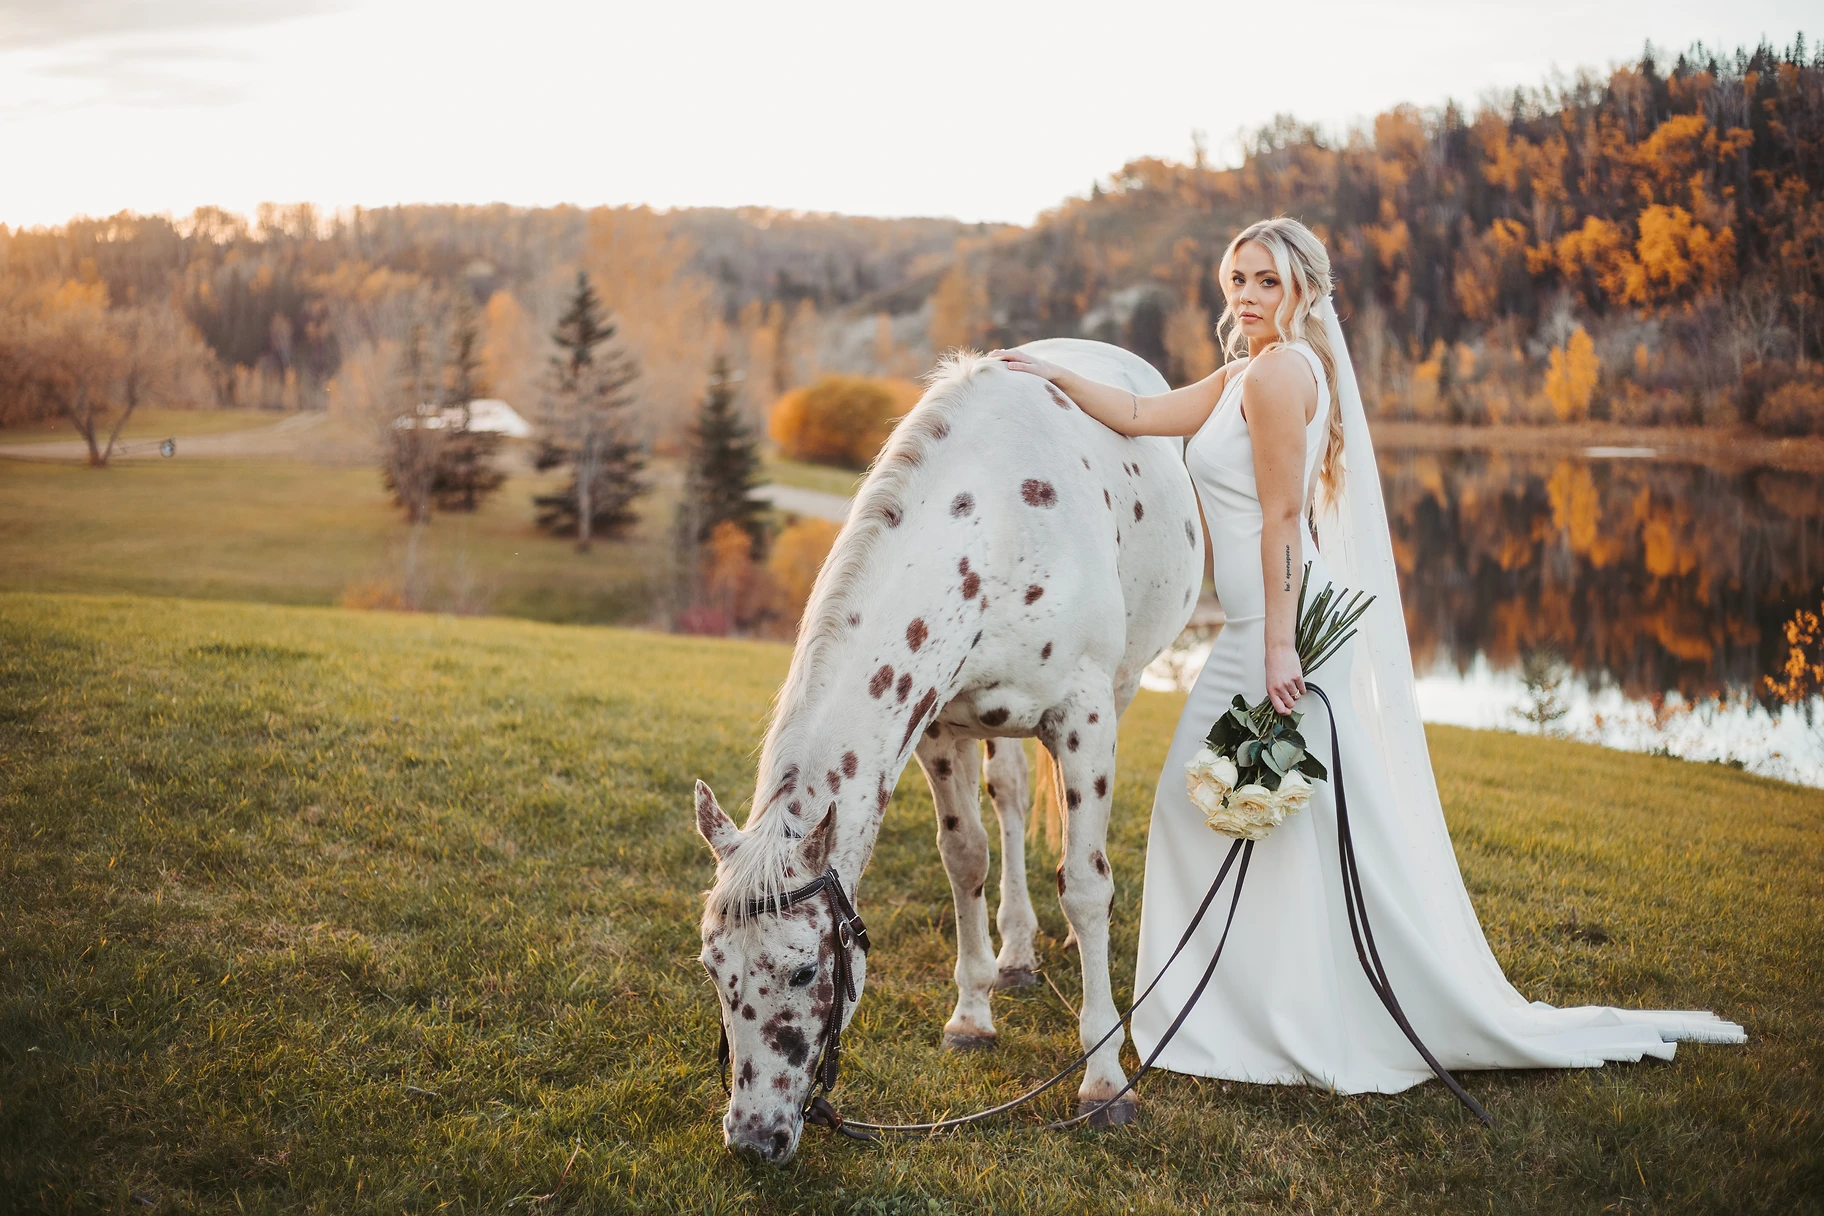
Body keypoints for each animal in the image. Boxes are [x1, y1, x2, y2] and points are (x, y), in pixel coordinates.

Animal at [689, 340, 1203, 1159]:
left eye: (805, 971)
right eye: (714, 968)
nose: (753, 1138)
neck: (994, 522)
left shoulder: (1085, 716)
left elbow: (1087, 888)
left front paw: (1104, 1080)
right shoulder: (937, 729)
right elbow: (966, 860)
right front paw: (971, 1015)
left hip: (1123, 686)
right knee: (1014, 800)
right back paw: (1016, 955)